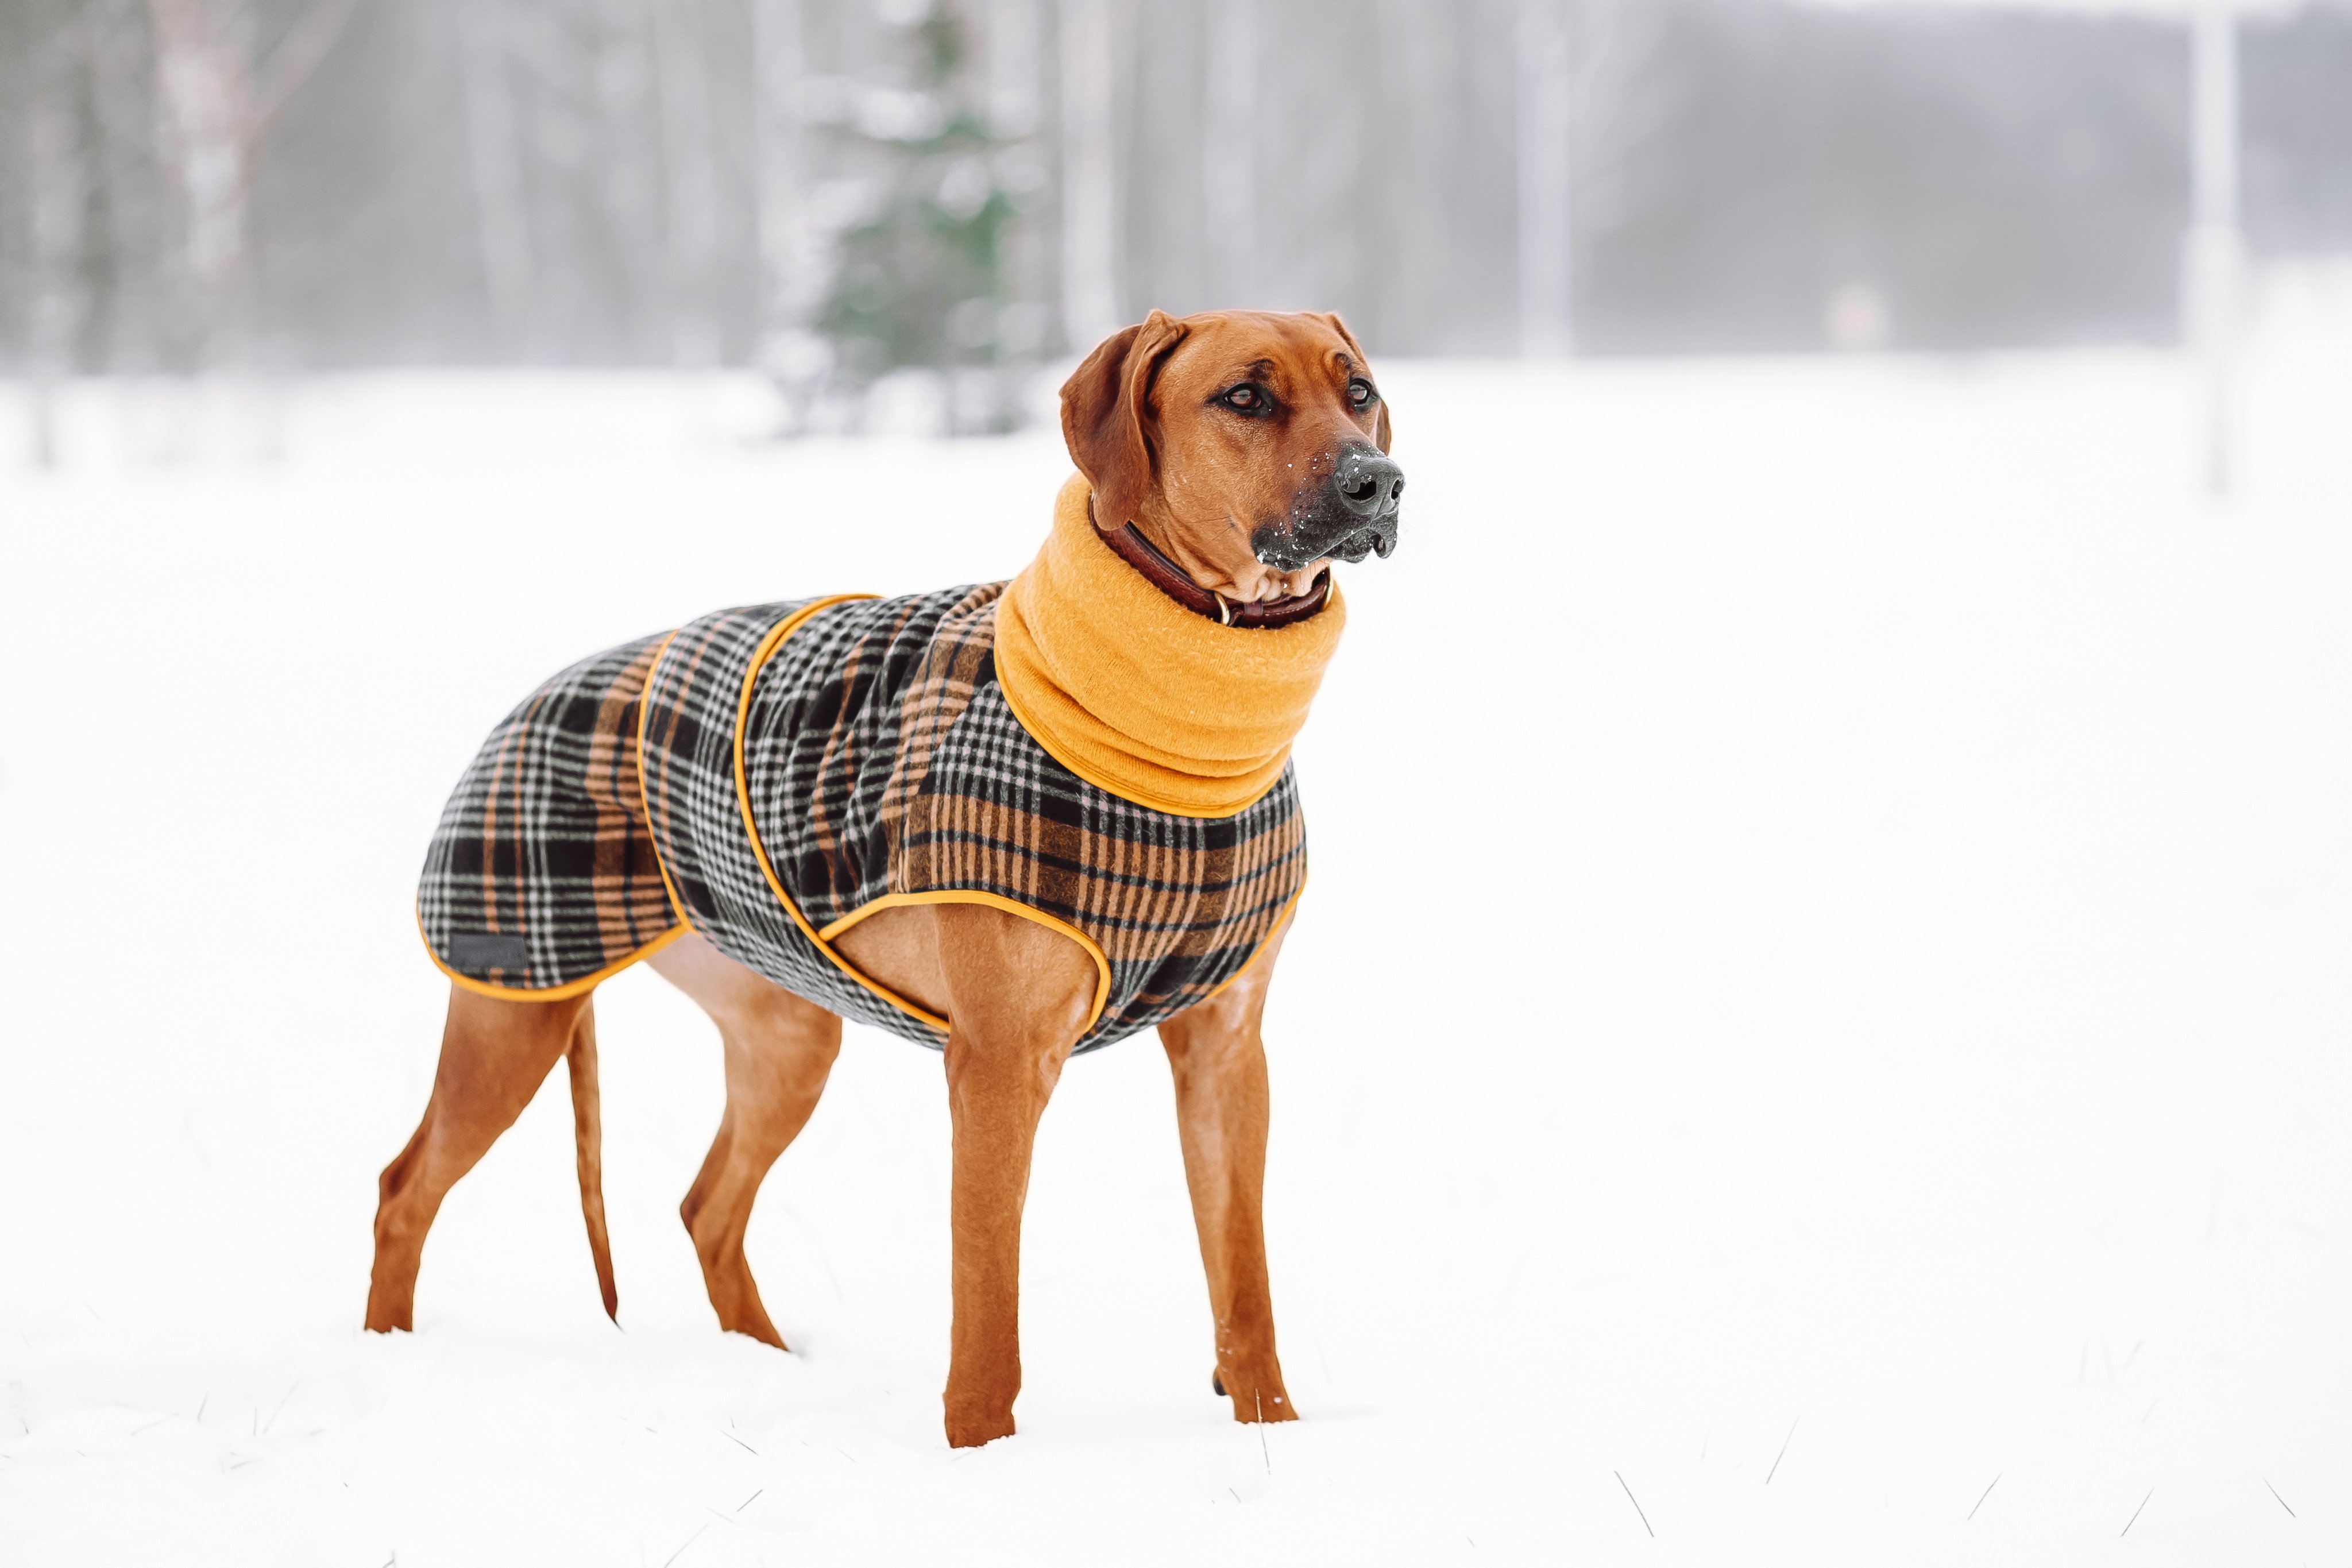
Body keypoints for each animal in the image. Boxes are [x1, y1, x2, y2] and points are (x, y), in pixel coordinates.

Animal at [362, 312, 1392, 1457]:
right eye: (1244, 398)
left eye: (1357, 390)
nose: (1378, 482)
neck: (1179, 731)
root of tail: (537, 690)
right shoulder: (998, 1063)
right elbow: (987, 1302)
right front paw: (980, 1456)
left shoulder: (1225, 1052)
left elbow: (1242, 1277)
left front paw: (1276, 1429)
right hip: (514, 1003)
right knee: (403, 1187)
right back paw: (386, 1358)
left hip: (785, 1030)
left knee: (707, 1207)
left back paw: (765, 1364)